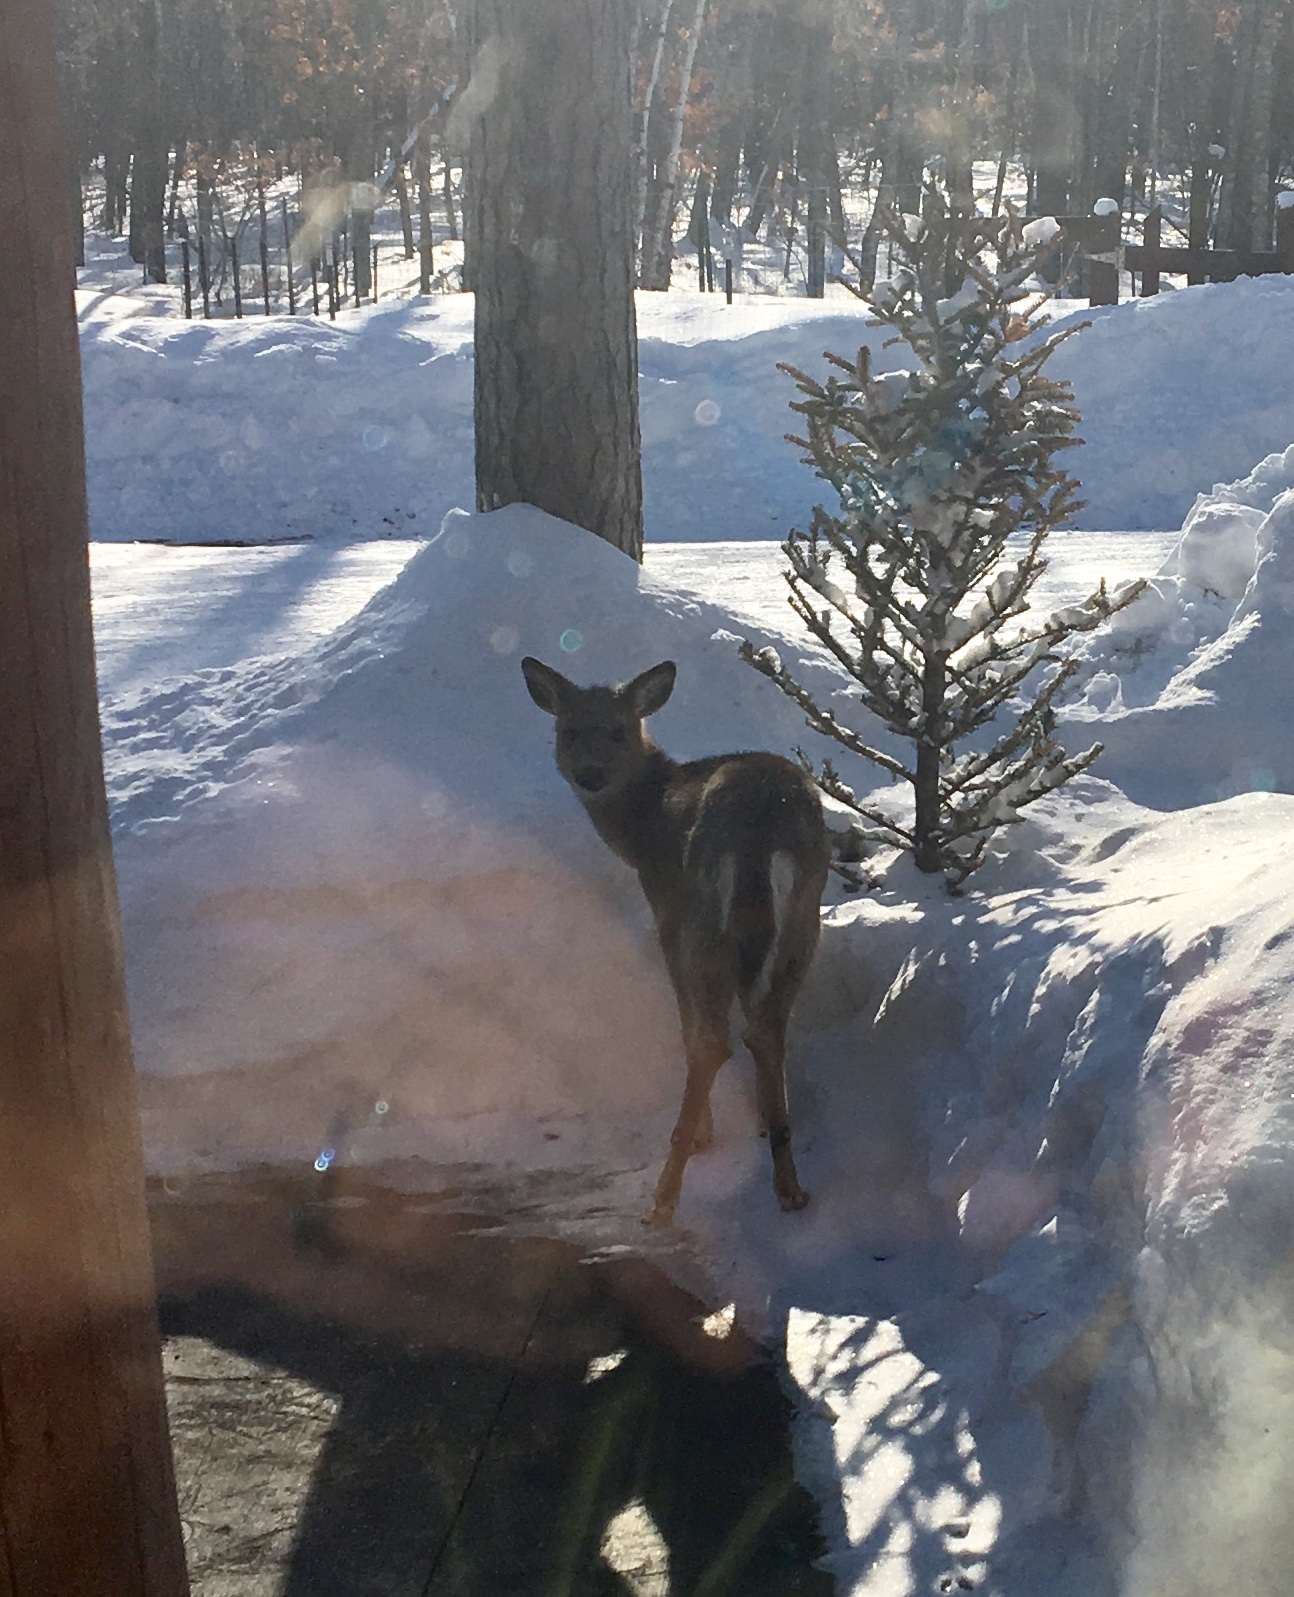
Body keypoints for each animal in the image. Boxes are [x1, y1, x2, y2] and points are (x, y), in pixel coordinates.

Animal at [521, 656, 830, 1226]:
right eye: (569, 731)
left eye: (617, 731)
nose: (590, 774)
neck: (646, 823)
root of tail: (763, 824)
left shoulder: (667, 907)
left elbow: (687, 1025)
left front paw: (705, 1133)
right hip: (803, 916)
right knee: (766, 1028)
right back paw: (789, 1186)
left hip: (705, 919)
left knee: (713, 1040)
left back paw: (664, 1197)